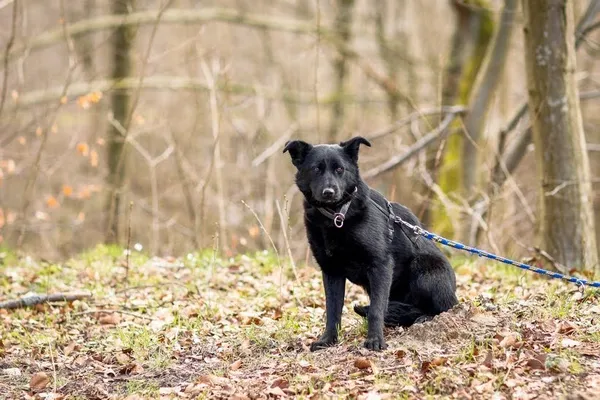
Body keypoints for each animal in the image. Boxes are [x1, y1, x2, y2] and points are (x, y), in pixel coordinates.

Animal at [284, 137, 458, 350]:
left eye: (340, 169)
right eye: (316, 169)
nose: (329, 192)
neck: (336, 216)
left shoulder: (380, 266)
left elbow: (376, 309)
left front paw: (375, 340)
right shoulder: (331, 271)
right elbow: (333, 310)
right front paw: (328, 340)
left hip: (425, 268)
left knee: (442, 308)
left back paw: (424, 318)